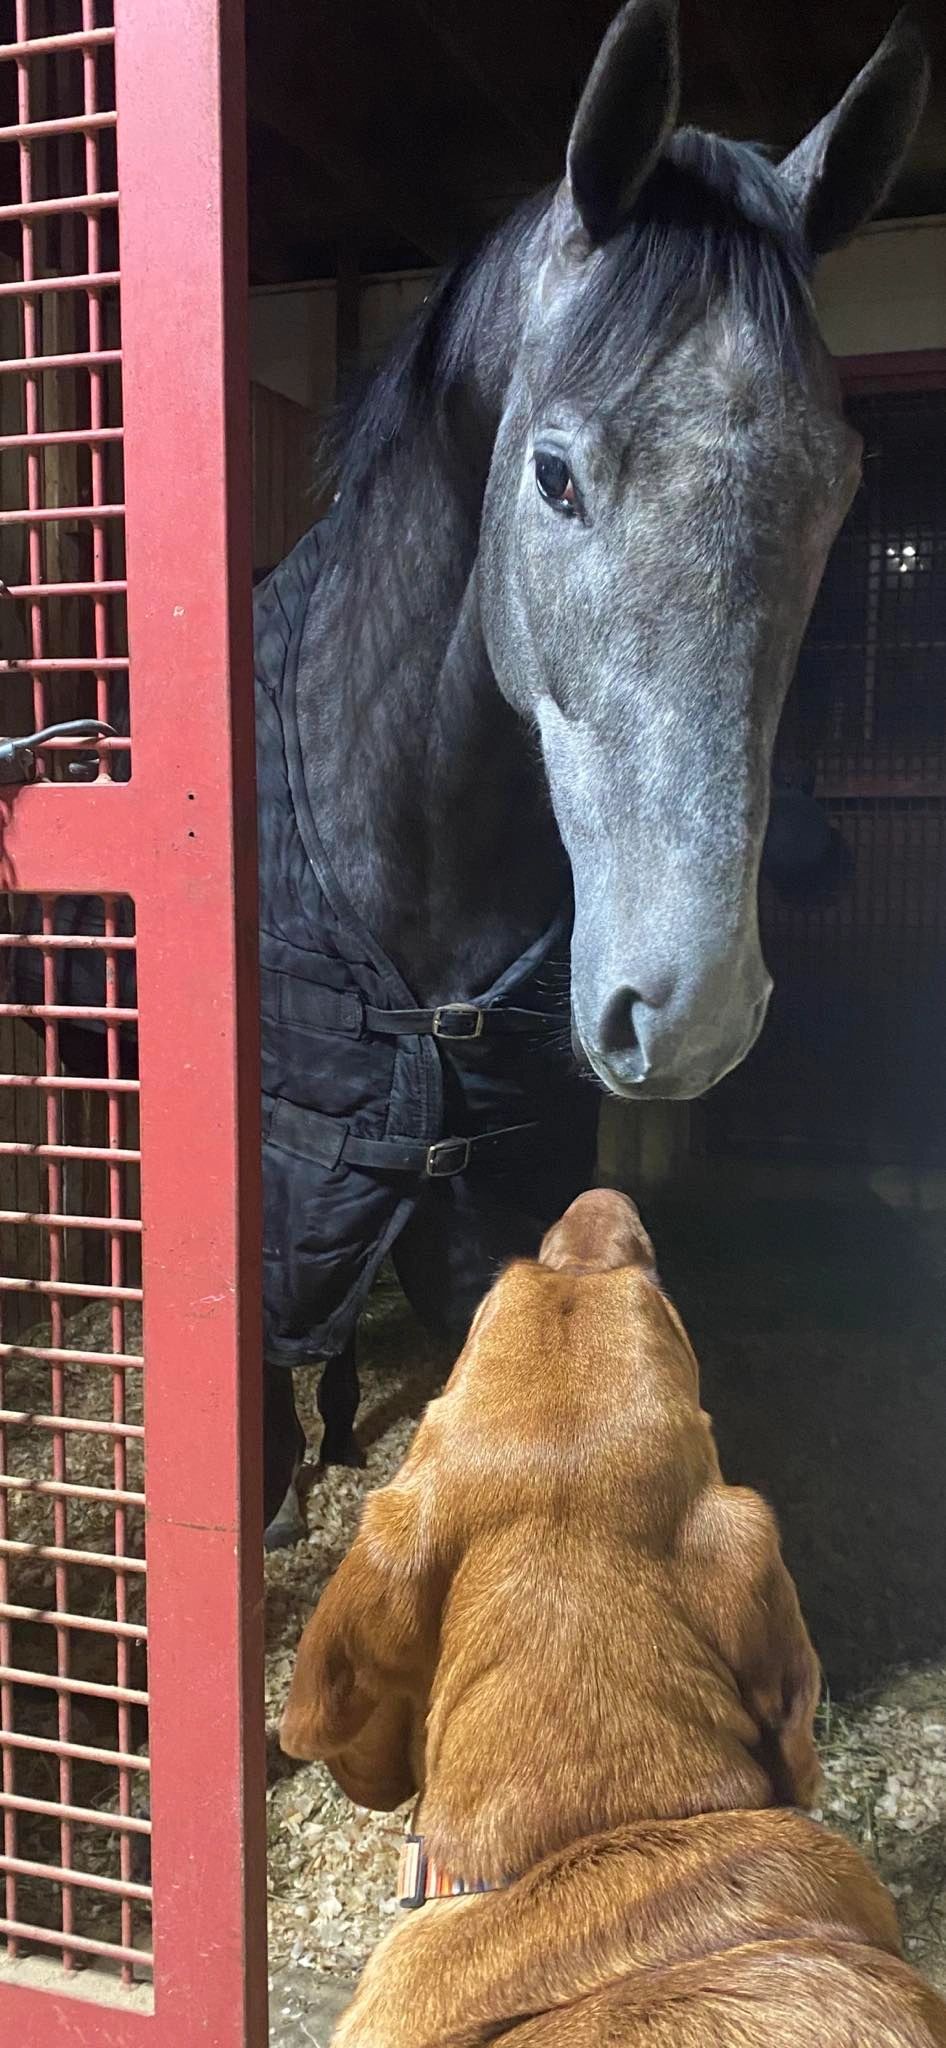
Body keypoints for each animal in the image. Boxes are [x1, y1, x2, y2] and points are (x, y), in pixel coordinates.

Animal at [16, 1, 927, 1547]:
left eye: (837, 490)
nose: (689, 1008)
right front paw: (267, 1507)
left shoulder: (493, 1204)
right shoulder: (280, 1197)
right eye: (552, 474)